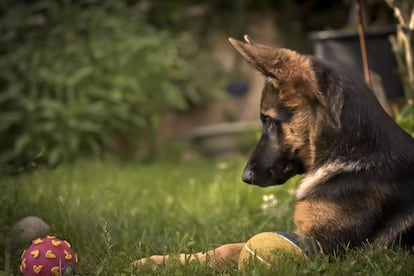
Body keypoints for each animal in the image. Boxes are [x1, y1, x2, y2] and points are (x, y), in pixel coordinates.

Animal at [135, 35, 414, 268]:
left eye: (268, 121)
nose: (245, 177)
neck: (351, 155)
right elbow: (229, 247)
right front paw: (159, 261)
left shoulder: (324, 249)